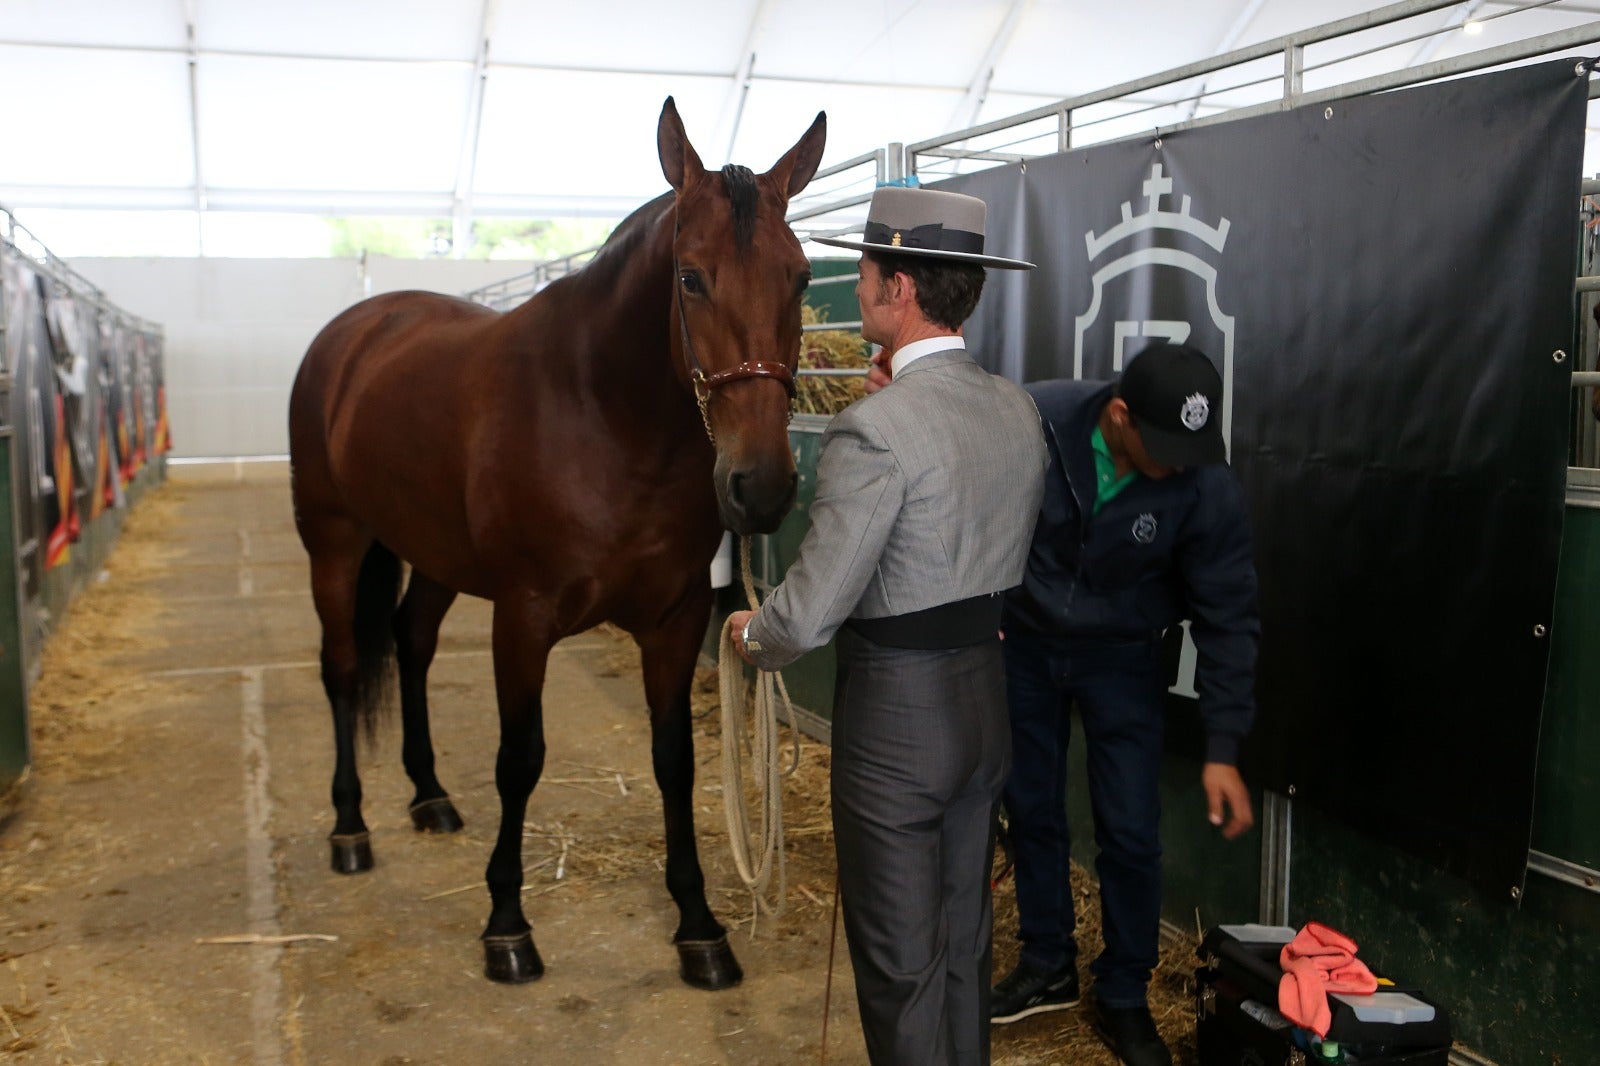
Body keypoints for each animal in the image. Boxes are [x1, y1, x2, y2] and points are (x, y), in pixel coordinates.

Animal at [286, 99, 825, 985]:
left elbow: (674, 760)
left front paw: (700, 926)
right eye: (690, 277)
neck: (601, 413)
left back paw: (429, 795)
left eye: (803, 278)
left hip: (436, 558)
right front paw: (507, 924)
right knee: (340, 669)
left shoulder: (675, 621)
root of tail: (359, 327)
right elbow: (520, 759)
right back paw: (349, 828)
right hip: (334, 542)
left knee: (412, 642)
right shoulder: (523, 617)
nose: (763, 485)